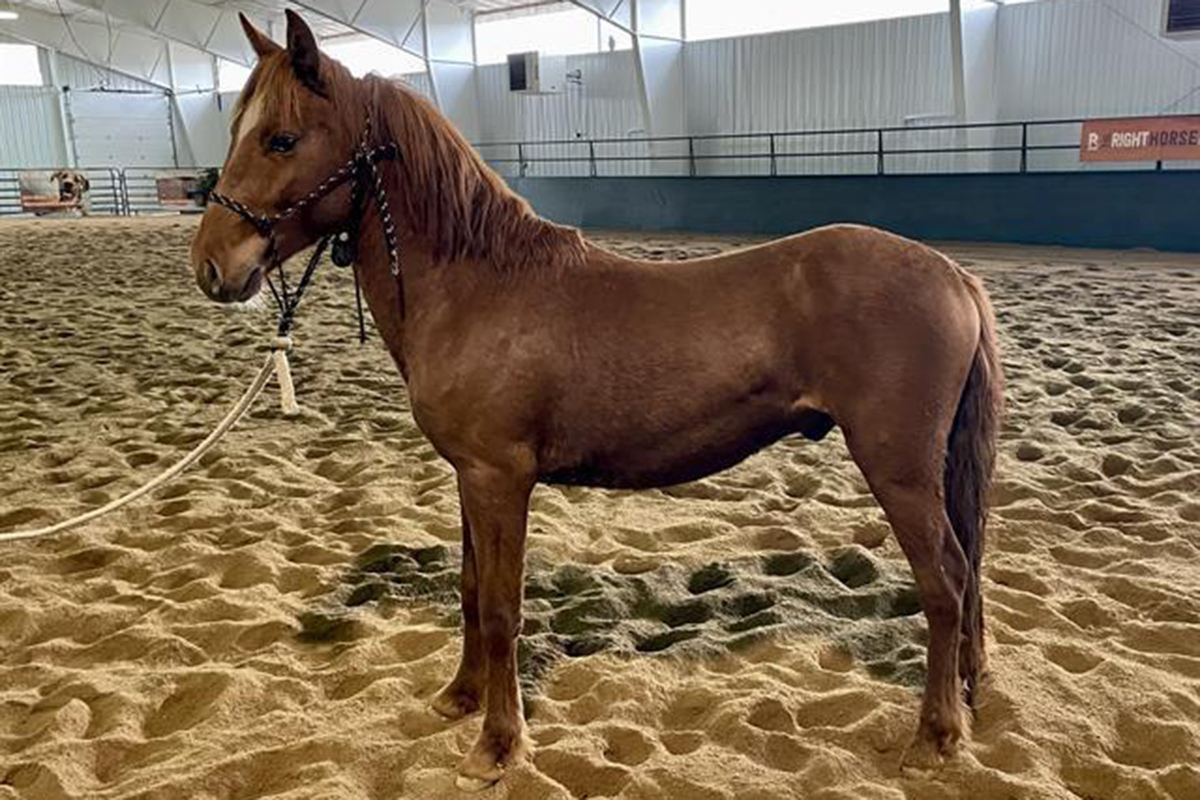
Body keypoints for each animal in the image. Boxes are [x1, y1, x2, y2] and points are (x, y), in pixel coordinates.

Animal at [191, 11, 1004, 790]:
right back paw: (965, 698)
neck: (476, 286)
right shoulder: (467, 477)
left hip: (898, 469)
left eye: (281, 137)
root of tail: (953, 276)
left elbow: (501, 609)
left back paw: (935, 736)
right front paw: (459, 698)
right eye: (235, 132)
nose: (211, 266)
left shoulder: (500, 479)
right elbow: (469, 588)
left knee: (946, 582)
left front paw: (498, 745)